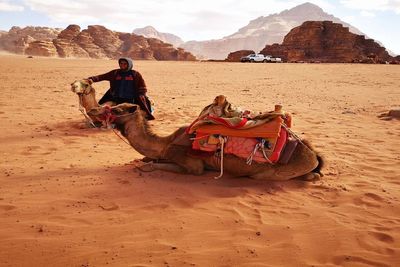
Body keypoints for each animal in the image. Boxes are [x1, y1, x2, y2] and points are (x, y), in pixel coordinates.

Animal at [88, 103, 324, 182]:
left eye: (117, 109)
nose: (93, 110)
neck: (166, 143)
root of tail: (313, 154)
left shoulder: (193, 166)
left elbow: (151, 164)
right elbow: (147, 158)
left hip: (268, 173)